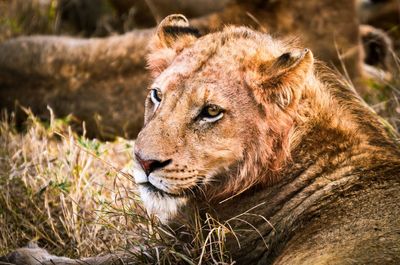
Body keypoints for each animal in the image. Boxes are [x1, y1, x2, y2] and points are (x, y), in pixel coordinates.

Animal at [0, 14, 400, 264]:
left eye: (210, 111)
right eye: (157, 95)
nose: (144, 162)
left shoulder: (204, 253)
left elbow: (122, 257)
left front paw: (25, 256)